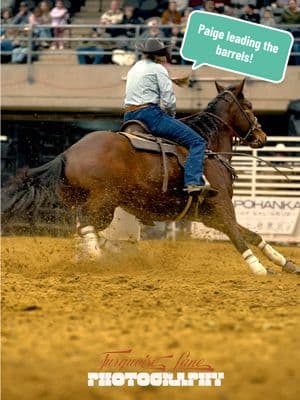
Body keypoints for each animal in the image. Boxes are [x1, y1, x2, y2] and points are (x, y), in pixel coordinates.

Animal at [1, 81, 298, 276]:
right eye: (249, 106)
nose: (262, 136)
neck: (209, 148)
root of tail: (67, 154)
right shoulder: (221, 205)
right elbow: (238, 236)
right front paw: (259, 268)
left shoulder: (207, 215)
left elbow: (253, 234)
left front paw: (286, 263)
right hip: (103, 203)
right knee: (86, 224)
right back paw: (98, 256)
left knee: (82, 228)